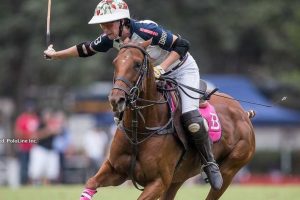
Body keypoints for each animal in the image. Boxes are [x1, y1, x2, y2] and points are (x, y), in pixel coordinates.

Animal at [85, 39, 255, 200]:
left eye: (137, 64)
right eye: (115, 63)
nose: (116, 99)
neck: (139, 130)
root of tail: (243, 113)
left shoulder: (158, 182)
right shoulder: (115, 169)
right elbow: (91, 182)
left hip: (230, 169)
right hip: (178, 178)